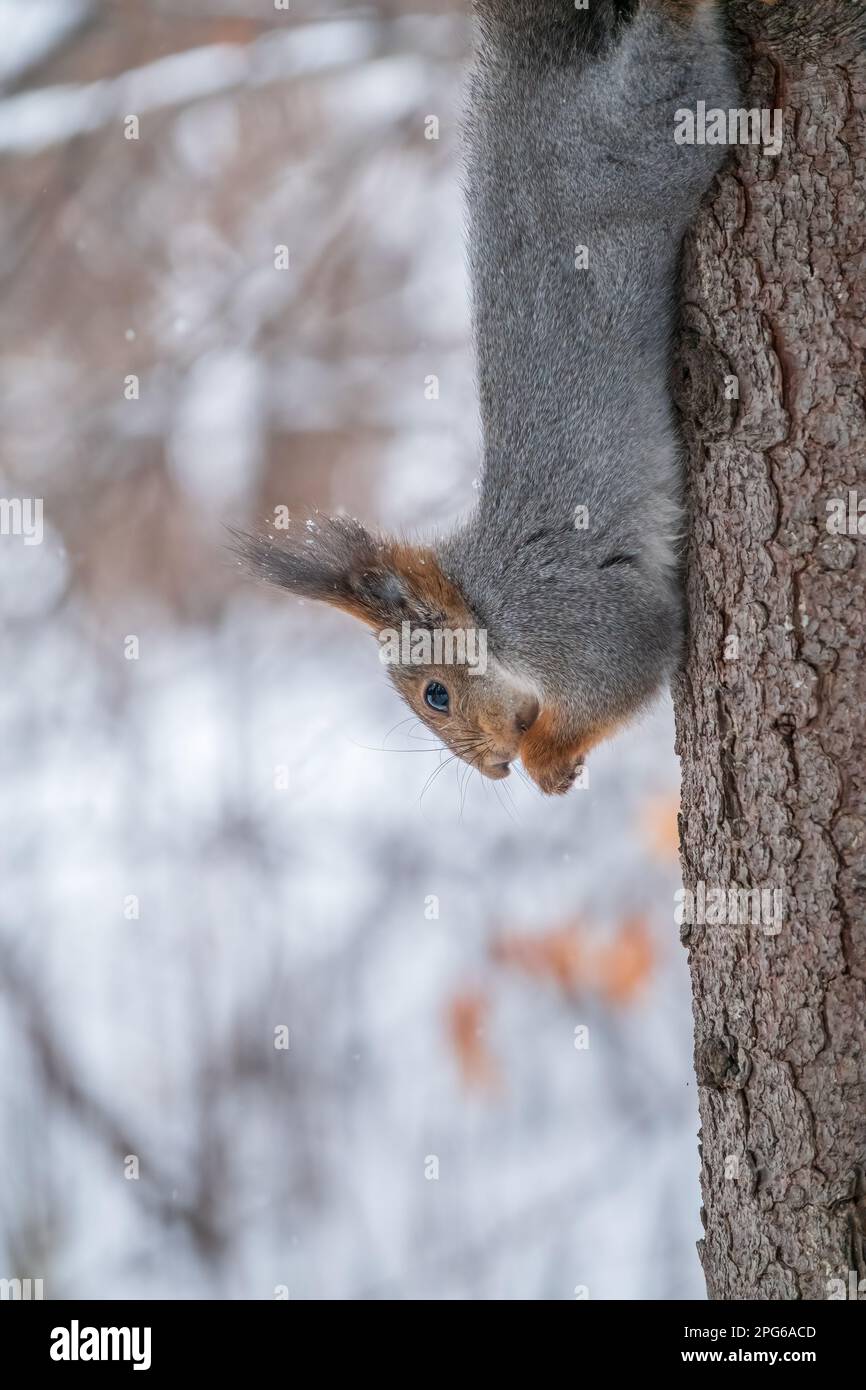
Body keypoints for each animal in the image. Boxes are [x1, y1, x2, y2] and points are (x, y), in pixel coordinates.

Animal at [234, 0, 739, 794]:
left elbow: (628, 667)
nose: (491, 769)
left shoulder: (571, 620)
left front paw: (546, 761)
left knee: (671, 65)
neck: (483, 601)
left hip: (652, 139)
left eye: (436, 695)